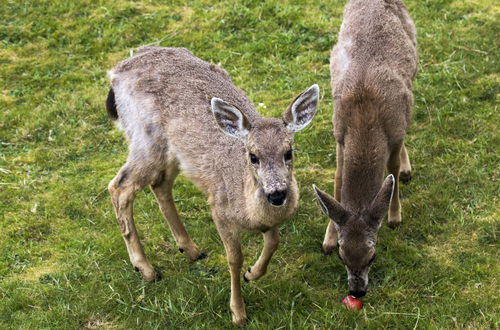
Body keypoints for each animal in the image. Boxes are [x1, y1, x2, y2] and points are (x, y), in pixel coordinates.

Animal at [105, 46, 318, 324]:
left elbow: (273, 242)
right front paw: (238, 312)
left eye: (288, 152)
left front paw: (253, 273)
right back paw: (146, 269)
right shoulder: (219, 209)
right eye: (253, 156)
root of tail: (117, 71)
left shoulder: (269, 221)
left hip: (174, 152)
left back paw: (191, 250)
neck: (248, 209)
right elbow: (234, 259)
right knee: (120, 186)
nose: (277, 194)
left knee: (160, 184)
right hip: (145, 139)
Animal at [314, 0, 416, 300]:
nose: (356, 291)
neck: (365, 115)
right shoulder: (339, 133)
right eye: (342, 255)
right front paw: (327, 238)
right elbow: (337, 179)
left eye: (372, 256)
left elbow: (391, 169)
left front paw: (394, 216)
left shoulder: (394, 130)